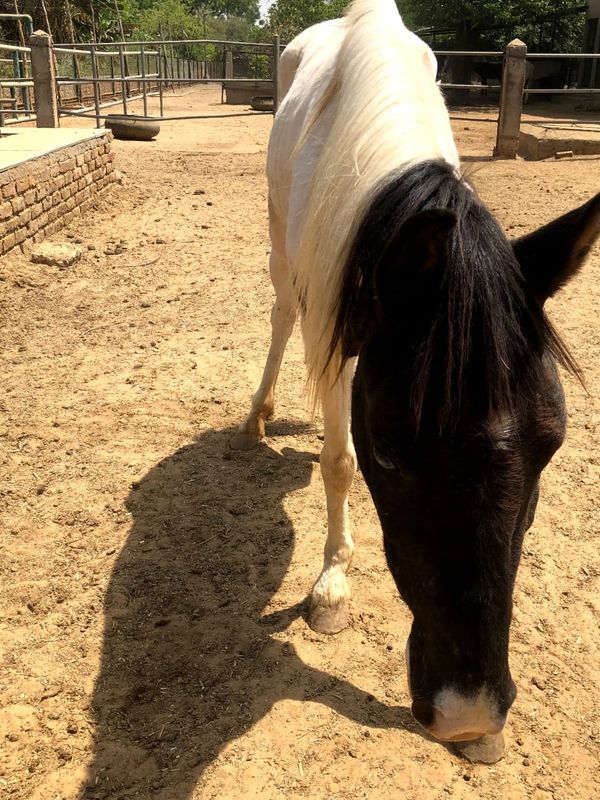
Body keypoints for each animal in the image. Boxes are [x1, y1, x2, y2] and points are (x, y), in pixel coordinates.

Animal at [231, 0, 600, 756]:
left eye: (551, 447)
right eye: (391, 454)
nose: (470, 716)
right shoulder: (336, 325)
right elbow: (339, 460)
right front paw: (332, 584)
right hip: (282, 242)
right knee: (280, 309)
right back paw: (259, 414)